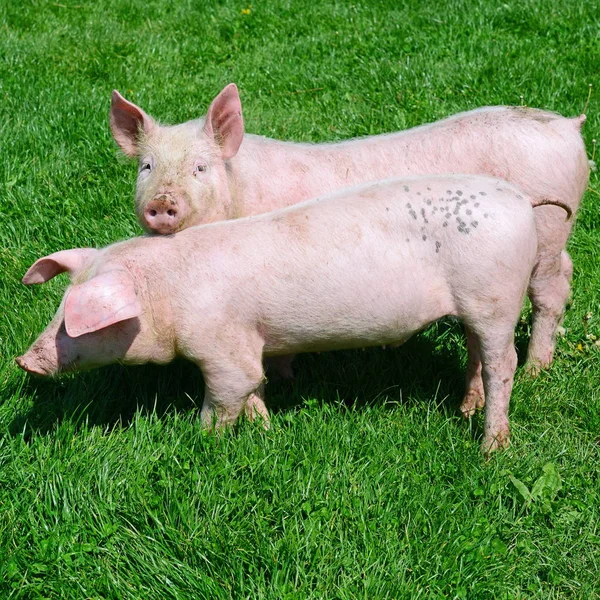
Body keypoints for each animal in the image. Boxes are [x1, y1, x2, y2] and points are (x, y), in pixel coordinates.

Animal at [12, 176, 568, 452]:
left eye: (79, 322)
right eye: (60, 306)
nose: (24, 361)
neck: (166, 294)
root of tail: (520, 196)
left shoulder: (220, 347)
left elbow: (227, 394)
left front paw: (202, 442)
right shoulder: (248, 342)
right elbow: (256, 387)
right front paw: (266, 432)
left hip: (495, 294)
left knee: (503, 364)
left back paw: (491, 447)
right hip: (476, 304)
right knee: (477, 355)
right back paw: (465, 410)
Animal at [110, 86, 588, 372]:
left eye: (200, 167)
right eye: (146, 166)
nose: (161, 204)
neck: (241, 193)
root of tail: (568, 126)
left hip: (547, 234)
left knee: (550, 292)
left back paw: (535, 370)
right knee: (567, 274)